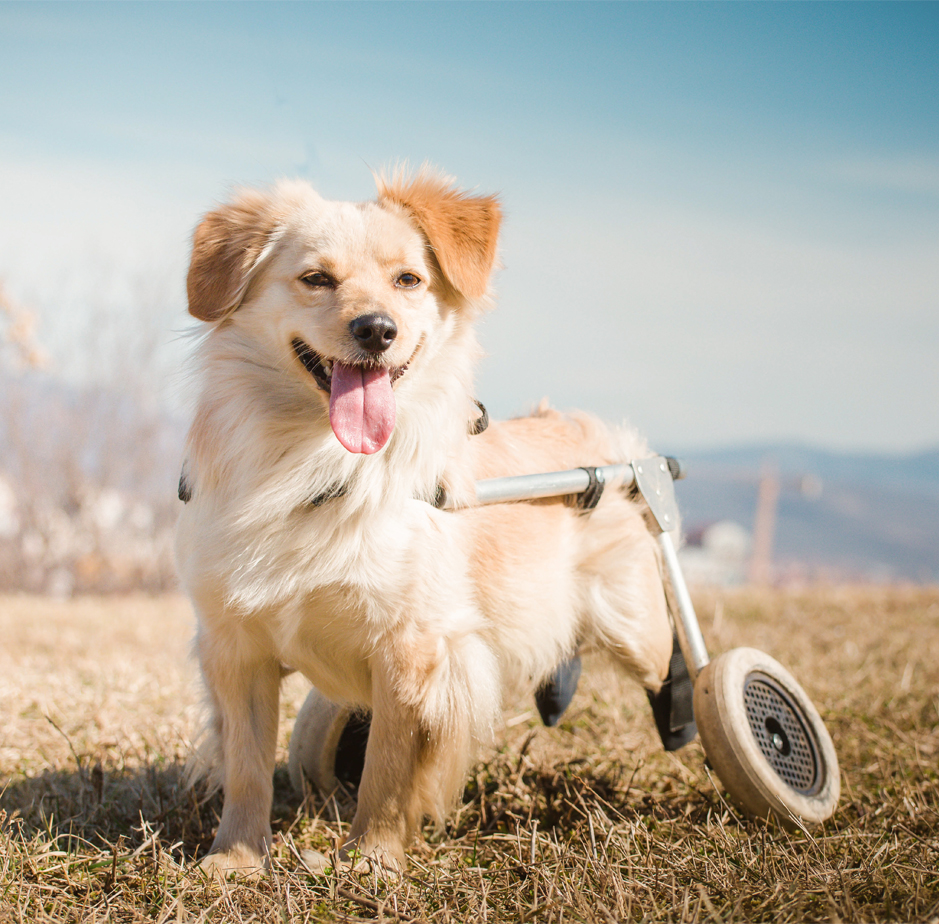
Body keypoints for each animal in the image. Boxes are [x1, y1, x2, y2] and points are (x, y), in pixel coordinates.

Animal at [176, 168, 676, 872]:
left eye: (408, 280)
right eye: (316, 279)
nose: (376, 329)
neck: (316, 464)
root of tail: (592, 433)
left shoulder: (413, 649)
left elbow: (389, 769)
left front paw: (373, 859)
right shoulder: (235, 645)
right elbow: (247, 766)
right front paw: (236, 861)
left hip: (637, 627)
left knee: (678, 668)